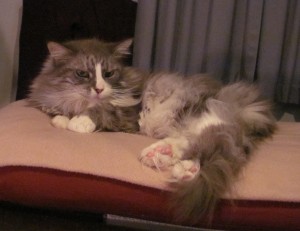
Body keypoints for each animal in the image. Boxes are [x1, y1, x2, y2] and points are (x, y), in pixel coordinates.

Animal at [28, 38, 276, 222]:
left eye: (108, 74)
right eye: (82, 74)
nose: (99, 89)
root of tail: (250, 110)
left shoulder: (127, 114)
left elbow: (101, 110)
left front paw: (79, 122)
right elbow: (60, 113)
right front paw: (62, 119)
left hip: (198, 114)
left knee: (202, 140)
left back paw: (160, 154)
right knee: (199, 149)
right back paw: (178, 166)